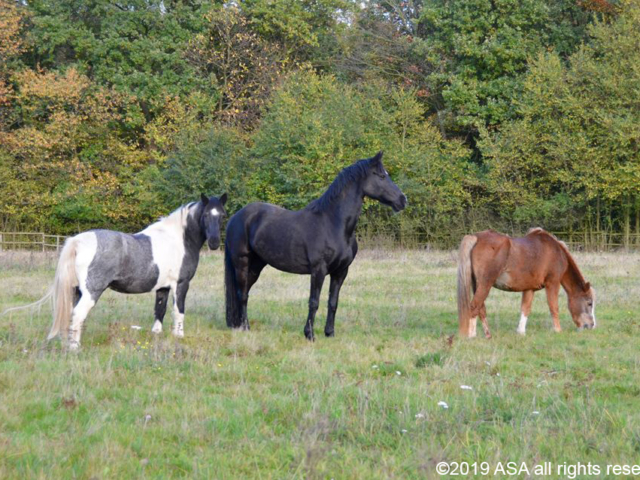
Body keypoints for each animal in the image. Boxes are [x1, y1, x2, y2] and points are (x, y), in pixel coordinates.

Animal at [5, 194, 228, 348]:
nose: (215, 242)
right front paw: (179, 336)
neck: (178, 239)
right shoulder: (181, 284)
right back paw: (75, 348)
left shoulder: (162, 287)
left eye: (222, 215)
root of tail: (79, 240)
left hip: (77, 291)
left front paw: (156, 334)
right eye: (206, 214)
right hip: (91, 292)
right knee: (78, 314)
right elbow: (178, 311)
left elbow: (160, 310)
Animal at [225, 152, 404, 340]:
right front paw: (309, 334)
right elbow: (314, 302)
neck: (333, 223)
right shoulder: (319, 270)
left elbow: (333, 302)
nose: (402, 200)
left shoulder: (341, 272)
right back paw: (245, 327)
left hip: (256, 265)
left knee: (244, 292)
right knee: (242, 294)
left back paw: (239, 325)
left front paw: (329, 332)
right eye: (382, 176)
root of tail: (235, 217)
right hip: (242, 263)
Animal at [456, 228, 596, 338]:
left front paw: (521, 332)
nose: (592, 325)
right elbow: (553, 307)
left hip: (477, 285)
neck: (556, 251)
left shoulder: (529, 288)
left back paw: (488, 335)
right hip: (485, 284)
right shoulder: (553, 283)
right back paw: (471, 335)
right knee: (474, 307)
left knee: (481, 309)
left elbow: (525, 308)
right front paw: (557, 330)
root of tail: (475, 237)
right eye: (589, 303)